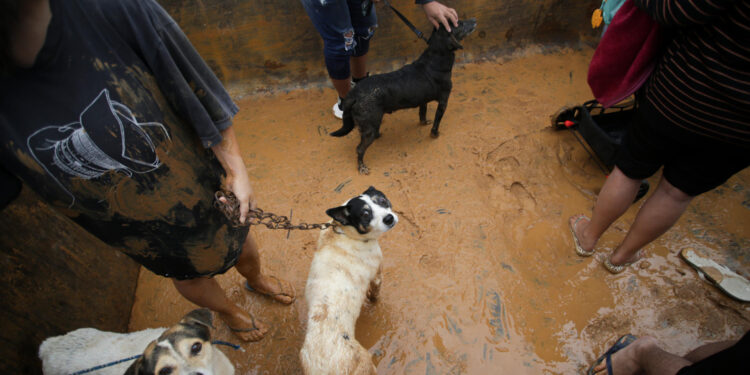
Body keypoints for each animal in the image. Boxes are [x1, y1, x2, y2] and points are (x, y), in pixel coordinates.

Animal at [302, 187, 400, 375]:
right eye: (365, 214)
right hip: (366, 365)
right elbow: (375, 294)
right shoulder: (377, 274)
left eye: (382, 201)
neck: (344, 231)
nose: (389, 218)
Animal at [330, 18, 482, 175]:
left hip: (372, 122)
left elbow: (422, 113)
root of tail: (354, 93)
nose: (474, 19)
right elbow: (436, 123)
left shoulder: (423, 100)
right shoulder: (443, 101)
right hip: (368, 128)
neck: (435, 59)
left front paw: (424, 122)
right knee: (359, 149)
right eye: (460, 23)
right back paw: (361, 167)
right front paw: (435, 134)